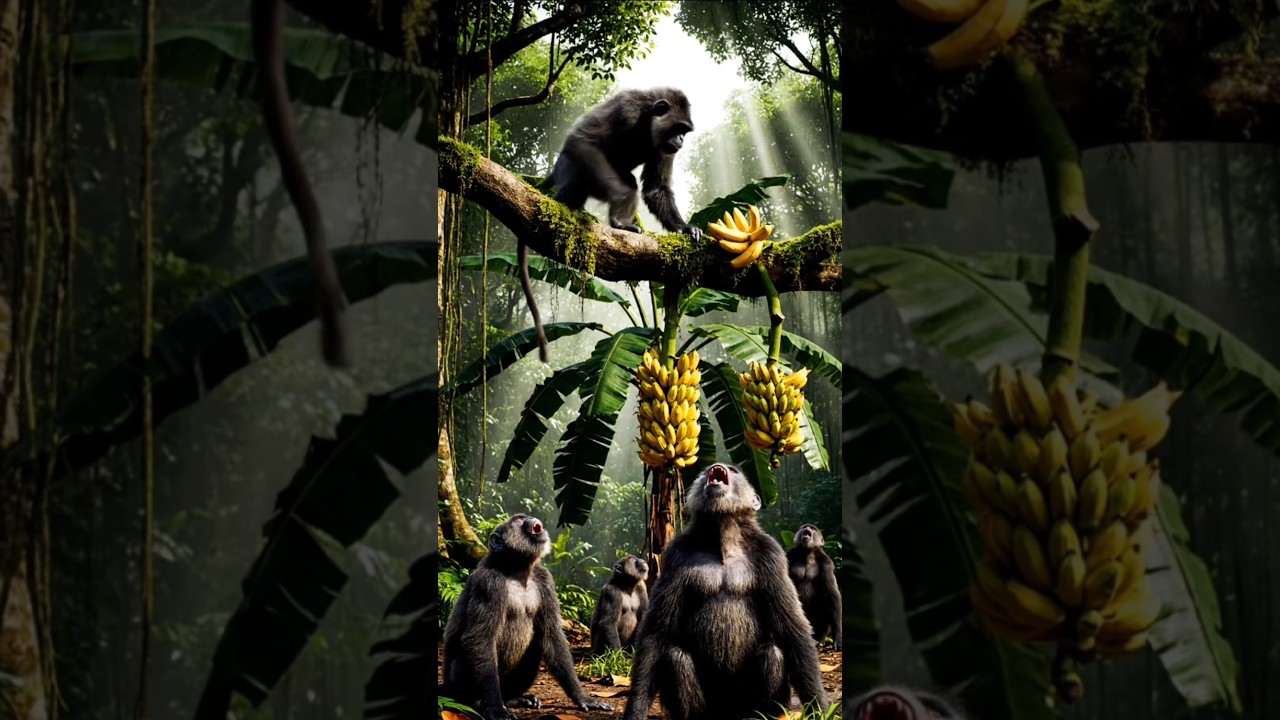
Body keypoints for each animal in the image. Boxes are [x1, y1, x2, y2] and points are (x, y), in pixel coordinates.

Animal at [440, 514, 614, 720]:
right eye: (518, 520)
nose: (531, 518)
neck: (517, 570)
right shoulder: (489, 584)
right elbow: (480, 638)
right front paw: (496, 709)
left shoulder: (545, 580)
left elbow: (552, 636)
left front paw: (582, 698)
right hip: (459, 688)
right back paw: (481, 703)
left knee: (538, 643)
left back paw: (514, 699)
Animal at [518, 87, 702, 363]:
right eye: (679, 128)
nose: (681, 140)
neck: (647, 119)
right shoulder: (625, 112)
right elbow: (590, 141)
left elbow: (656, 187)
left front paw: (684, 228)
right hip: (571, 165)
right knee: (591, 176)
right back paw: (610, 220)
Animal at [622, 463, 828, 720]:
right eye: (704, 472)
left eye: (734, 470)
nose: (716, 466)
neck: (723, 538)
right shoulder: (675, 555)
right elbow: (656, 632)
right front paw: (636, 709)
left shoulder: (772, 555)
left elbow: (792, 629)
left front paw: (819, 708)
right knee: (674, 658)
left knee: (772, 653)